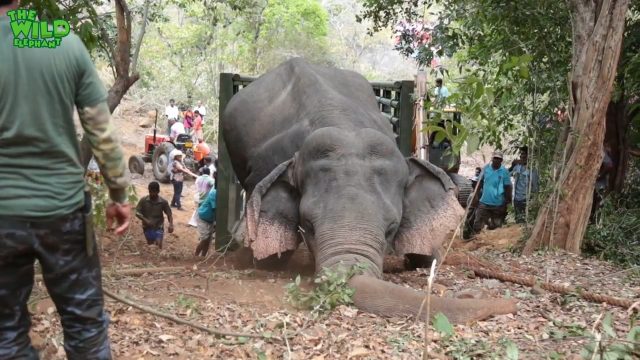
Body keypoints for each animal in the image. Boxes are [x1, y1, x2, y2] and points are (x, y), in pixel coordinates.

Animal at [221, 59, 516, 324]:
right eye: (308, 226)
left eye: (391, 229)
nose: (472, 294)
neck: (341, 123)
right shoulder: (264, 166)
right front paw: (257, 257)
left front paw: (426, 259)